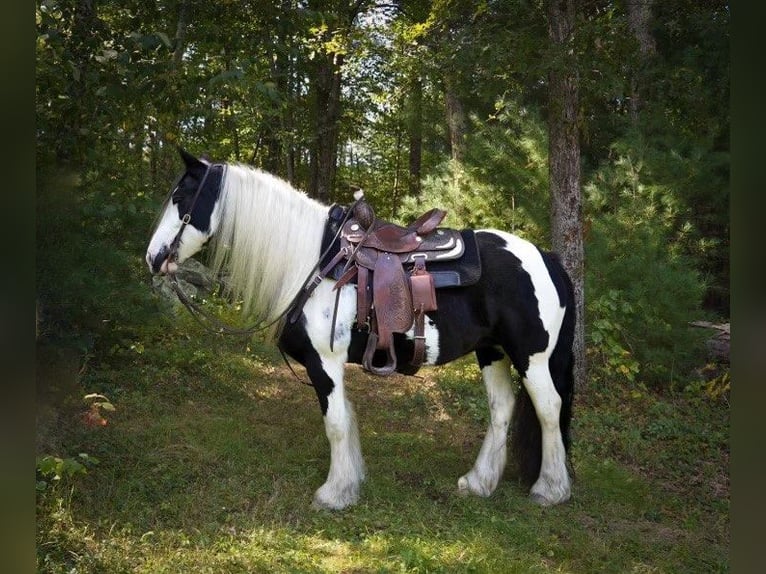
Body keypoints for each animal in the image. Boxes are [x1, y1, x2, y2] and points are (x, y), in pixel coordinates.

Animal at [146, 150, 576, 512]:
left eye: (182, 197)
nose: (153, 257)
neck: (314, 259)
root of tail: (547, 257)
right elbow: (347, 420)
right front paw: (350, 482)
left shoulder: (325, 363)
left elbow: (335, 423)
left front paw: (334, 494)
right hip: (493, 351)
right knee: (502, 408)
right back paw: (479, 482)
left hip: (531, 356)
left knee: (549, 407)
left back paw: (550, 489)